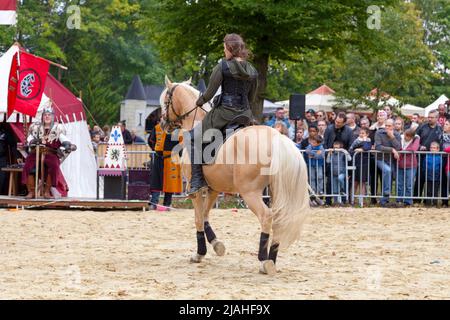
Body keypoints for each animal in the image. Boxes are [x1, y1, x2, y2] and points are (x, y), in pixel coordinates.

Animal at [160, 77, 312, 276]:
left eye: (165, 101)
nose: (163, 123)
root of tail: (277, 139)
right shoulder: (214, 188)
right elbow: (206, 215)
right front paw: (216, 245)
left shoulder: (195, 190)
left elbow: (198, 218)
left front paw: (199, 253)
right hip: (275, 191)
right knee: (278, 219)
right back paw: (272, 260)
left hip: (250, 193)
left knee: (266, 216)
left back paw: (264, 261)